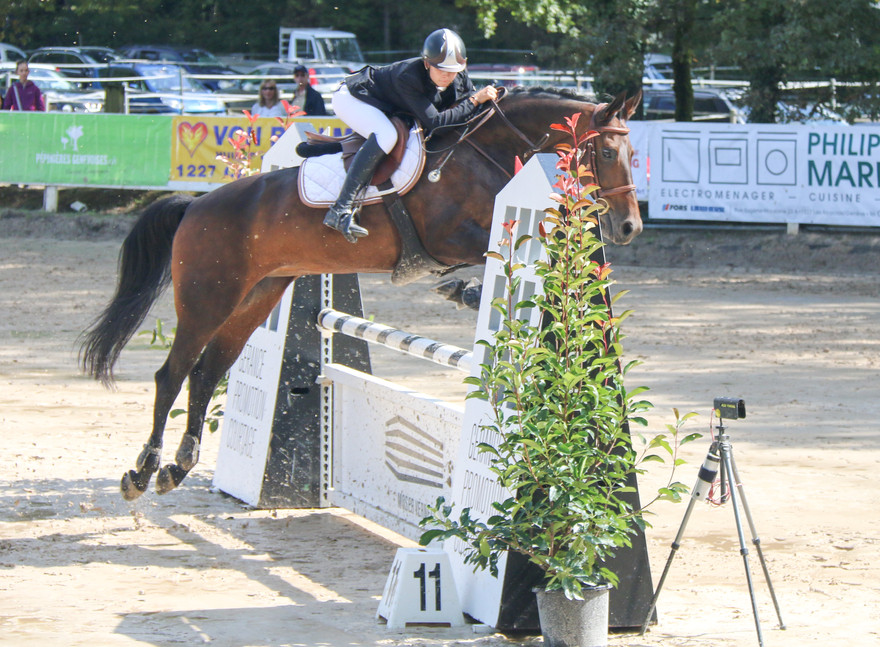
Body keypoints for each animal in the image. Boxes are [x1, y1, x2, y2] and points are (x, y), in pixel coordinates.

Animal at [79, 87, 643, 500]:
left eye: (634, 154)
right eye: (607, 151)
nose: (629, 228)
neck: (489, 151)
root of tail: (194, 207)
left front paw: (462, 289)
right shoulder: (447, 236)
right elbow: (489, 255)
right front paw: (463, 290)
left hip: (257, 296)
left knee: (206, 371)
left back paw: (179, 466)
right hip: (206, 299)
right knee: (172, 374)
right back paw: (143, 471)